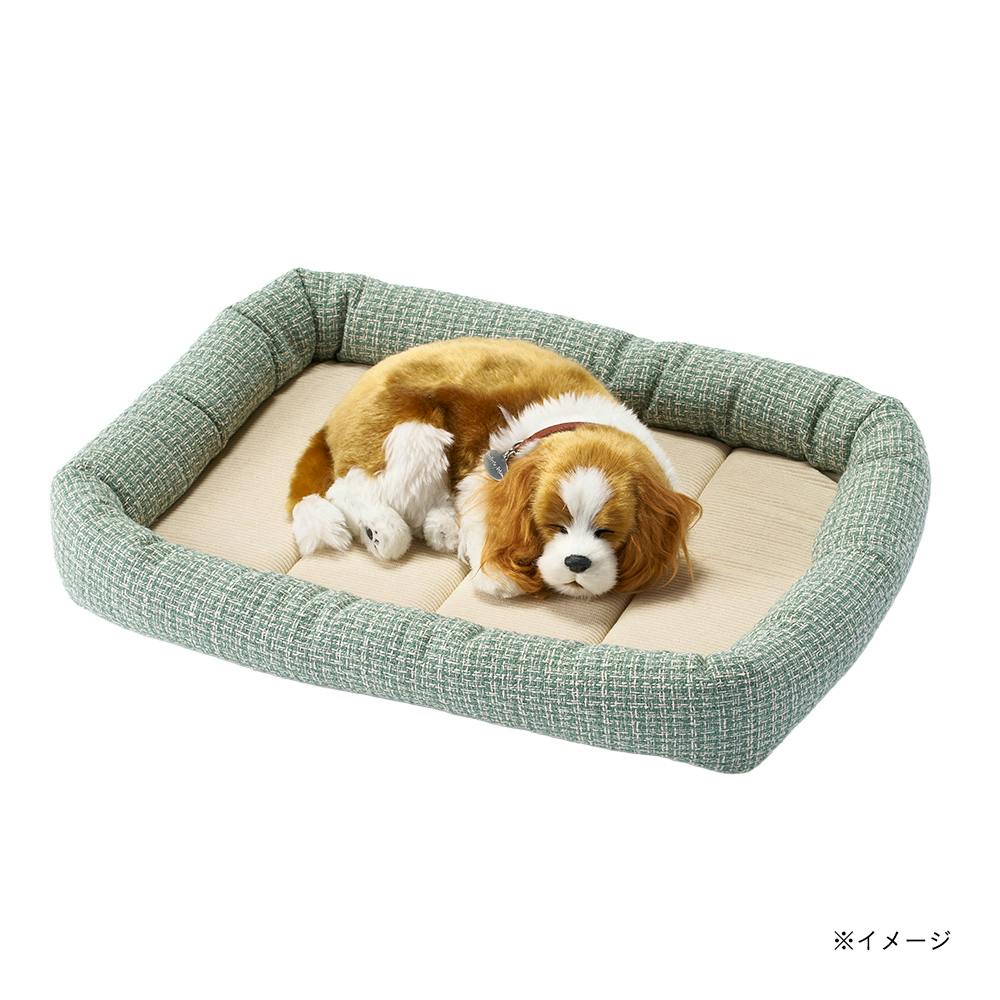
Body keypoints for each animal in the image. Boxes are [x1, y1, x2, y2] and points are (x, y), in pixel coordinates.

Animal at [288, 338, 700, 598]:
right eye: (554, 527)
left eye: (606, 532)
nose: (577, 562)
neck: (577, 425)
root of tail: (336, 414)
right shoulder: (486, 480)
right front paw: (500, 576)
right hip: (411, 433)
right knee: (350, 488)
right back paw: (381, 530)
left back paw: (441, 527)